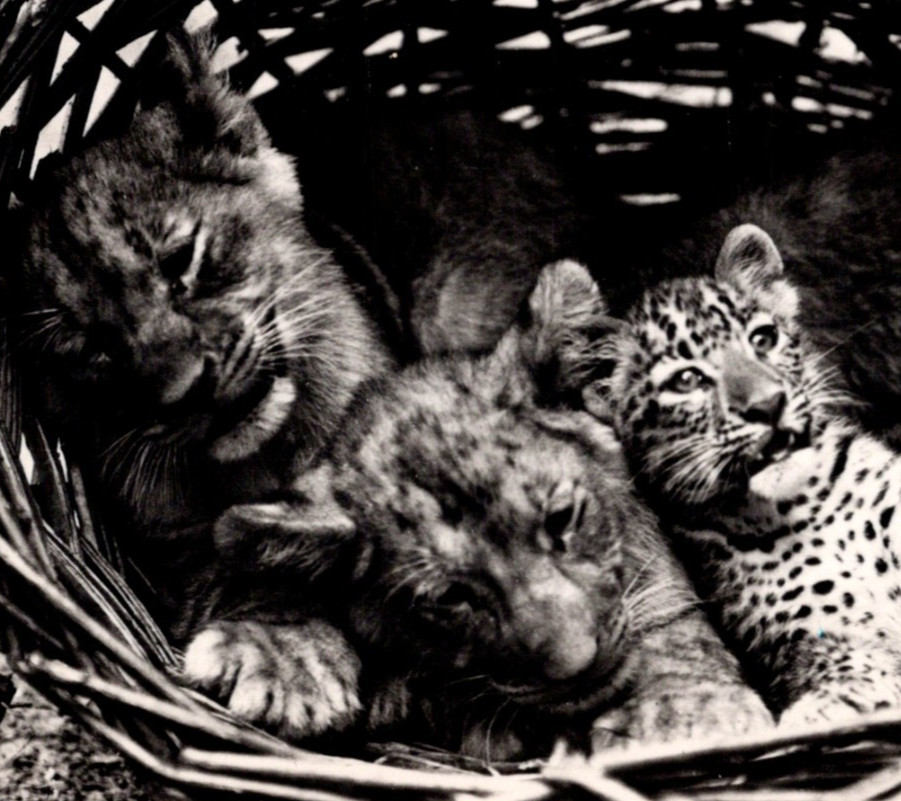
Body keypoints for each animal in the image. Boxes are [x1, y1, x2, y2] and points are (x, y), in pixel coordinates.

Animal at [182, 260, 773, 760]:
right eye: (449, 598)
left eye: (561, 520)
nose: (577, 663)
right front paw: (284, 655)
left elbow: (670, 621)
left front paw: (687, 708)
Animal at [586, 222, 901, 726]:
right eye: (686, 380)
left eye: (763, 338)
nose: (768, 406)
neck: (808, 508)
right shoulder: (818, 641)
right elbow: (849, 674)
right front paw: (814, 712)